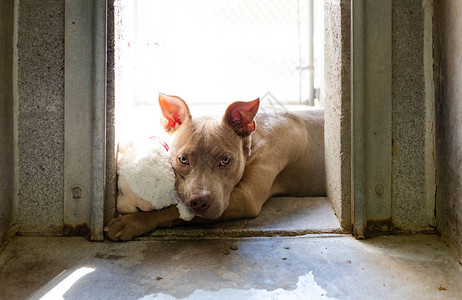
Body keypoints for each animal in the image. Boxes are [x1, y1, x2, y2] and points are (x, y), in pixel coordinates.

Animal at [106, 95, 326, 240]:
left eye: (225, 160)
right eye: (183, 159)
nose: (200, 202)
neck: (251, 142)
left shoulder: (245, 198)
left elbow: (174, 210)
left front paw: (133, 221)